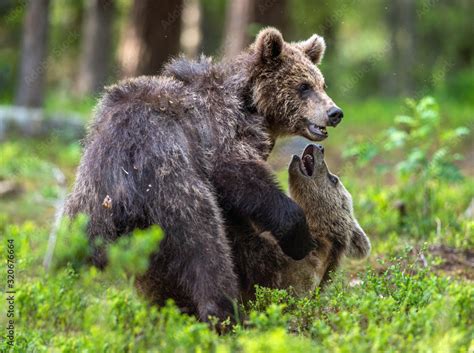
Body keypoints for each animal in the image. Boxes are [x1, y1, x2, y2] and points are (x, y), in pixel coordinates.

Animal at [65, 26, 342, 320]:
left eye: (322, 84)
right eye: (303, 86)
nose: (335, 112)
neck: (251, 107)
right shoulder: (219, 133)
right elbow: (239, 175)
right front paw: (300, 239)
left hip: (90, 199)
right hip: (174, 185)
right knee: (206, 247)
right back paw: (224, 310)